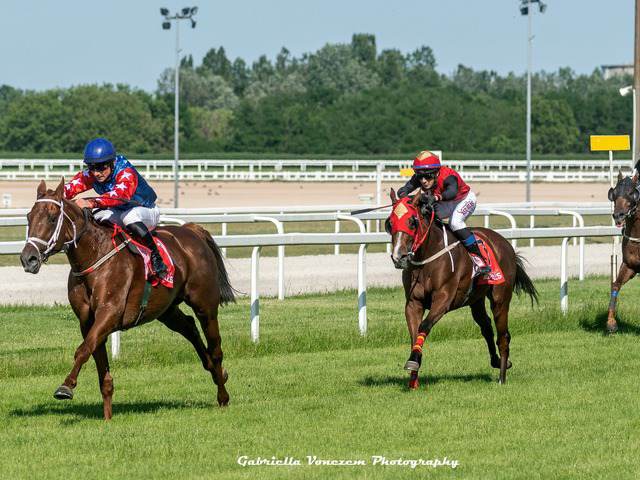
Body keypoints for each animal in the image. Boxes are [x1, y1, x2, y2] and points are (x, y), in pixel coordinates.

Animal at [19, 178, 235, 418]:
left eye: (52, 217)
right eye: (29, 216)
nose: (28, 258)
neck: (94, 256)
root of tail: (192, 231)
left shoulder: (110, 313)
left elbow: (83, 350)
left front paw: (66, 386)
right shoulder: (87, 321)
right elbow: (97, 360)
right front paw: (107, 417)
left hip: (205, 305)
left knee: (215, 348)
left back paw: (223, 396)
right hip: (166, 309)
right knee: (189, 327)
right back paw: (217, 372)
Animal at [384, 189, 540, 388]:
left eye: (412, 221)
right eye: (389, 223)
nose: (399, 257)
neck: (426, 259)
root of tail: (504, 243)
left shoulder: (443, 298)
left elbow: (424, 325)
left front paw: (413, 362)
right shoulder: (413, 303)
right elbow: (414, 334)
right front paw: (413, 378)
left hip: (500, 298)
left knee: (503, 335)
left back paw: (502, 377)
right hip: (476, 299)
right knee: (486, 327)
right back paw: (497, 362)